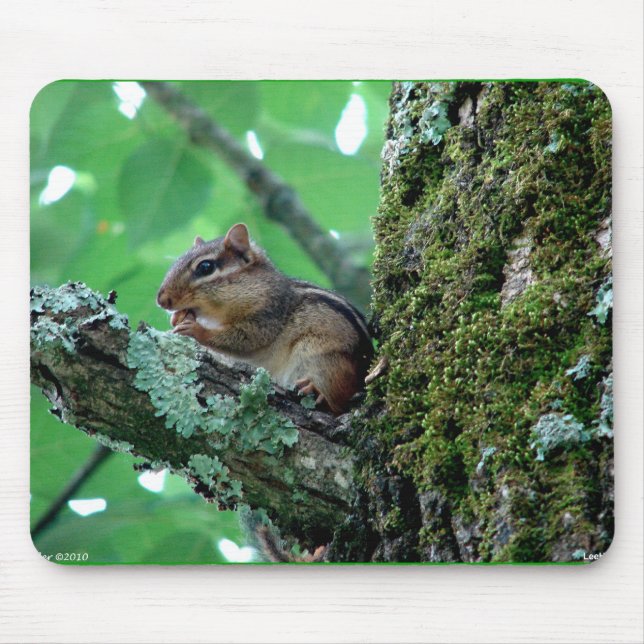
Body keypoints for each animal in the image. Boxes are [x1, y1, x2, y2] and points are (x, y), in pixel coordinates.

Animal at [157, 223, 373, 415]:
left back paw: (316, 390)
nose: (162, 300)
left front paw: (195, 329)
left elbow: (245, 339)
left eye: (205, 267)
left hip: (324, 360)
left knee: (337, 402)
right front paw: (177, 318)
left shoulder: (267, 315)